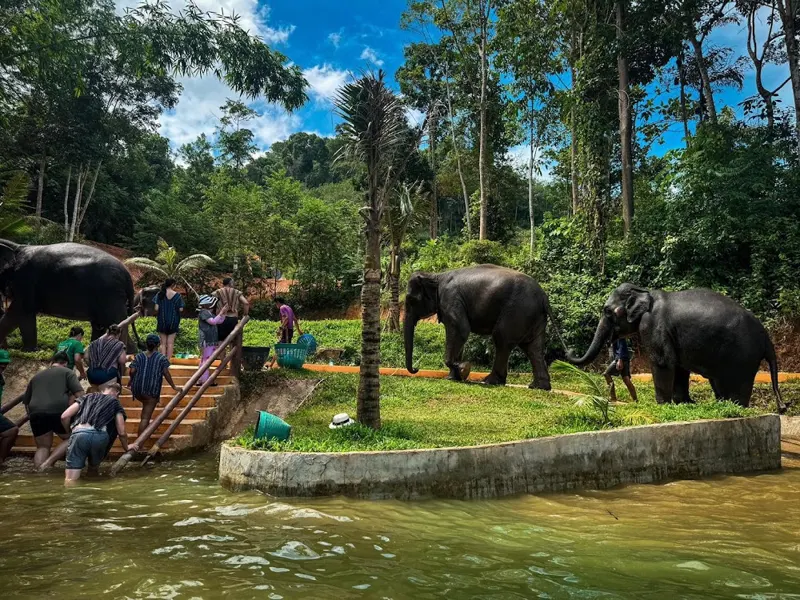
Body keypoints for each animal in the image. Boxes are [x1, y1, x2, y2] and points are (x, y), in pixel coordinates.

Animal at [0, 240, 141, 351]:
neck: (17, 247)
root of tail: (128, 276)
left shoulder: (25, 280)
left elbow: (20, 311)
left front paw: (27, 351)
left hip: (110, 295)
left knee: (113, 324)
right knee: (101, 325)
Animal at [404, 264, 566, 389]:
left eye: (411, 300)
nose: (416, 369)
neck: (436, 276)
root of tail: (544, 297)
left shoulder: (451, 299)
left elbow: (461, 330)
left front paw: (464, 368)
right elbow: (459, 334)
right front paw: (453, 377)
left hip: (517, 311)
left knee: (502, 340)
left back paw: (490, 381)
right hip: (533, 316)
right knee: (533, 348)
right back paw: (538, 387)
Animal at [566, 283, 786, 413]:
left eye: (606, 311)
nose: (569, 350)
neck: (645, 291)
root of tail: (766, 339)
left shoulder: (652, 325)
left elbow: (663, 362)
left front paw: (663, 404)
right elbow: (680, 367)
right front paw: (684, 403)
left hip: (742, 357)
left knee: (735, 383)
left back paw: (734, 407)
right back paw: (722, 404)